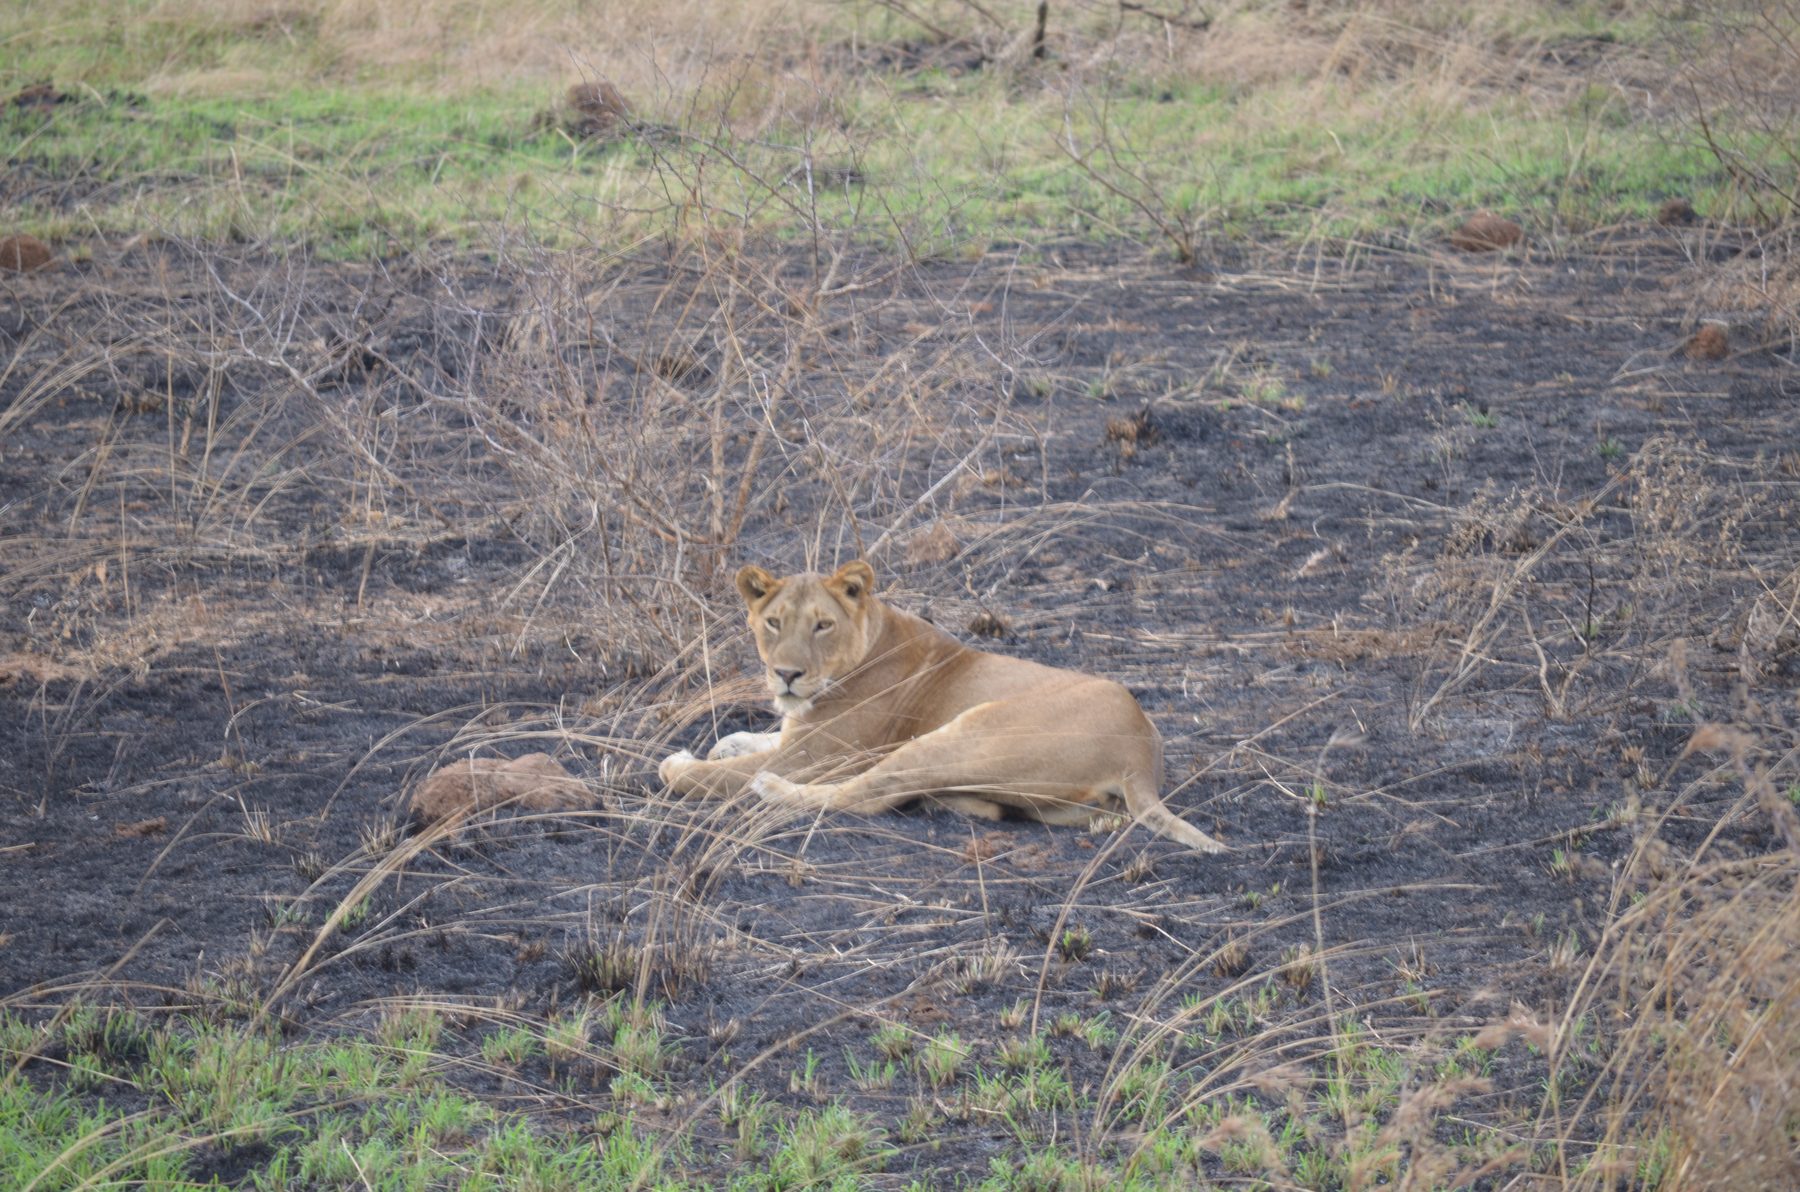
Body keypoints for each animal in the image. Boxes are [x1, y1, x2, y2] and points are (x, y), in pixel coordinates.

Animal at [658, 560, 1227, 852]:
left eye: (823, 624)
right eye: (774, 622)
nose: (787, 674)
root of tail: (1141, 752)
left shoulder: (813, 756)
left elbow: (706, 776)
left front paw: (686, 763)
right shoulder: (798, 735)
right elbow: (756, 735)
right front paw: (727, 742)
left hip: (965, 733)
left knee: (866, 794)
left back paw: (771, 788)